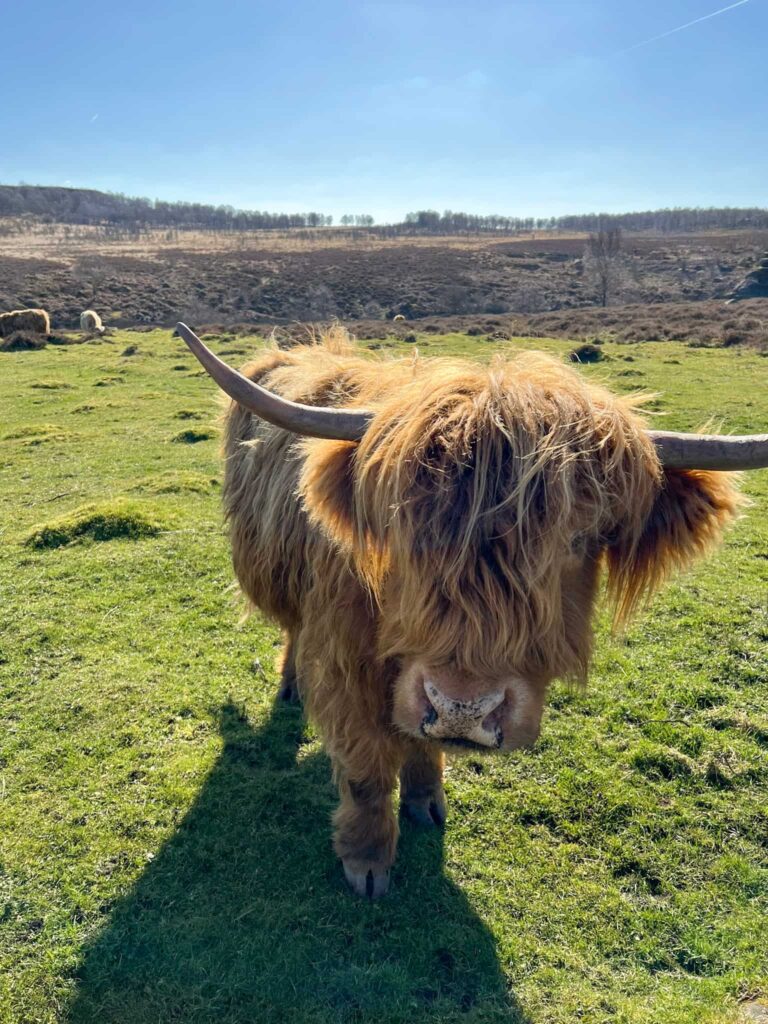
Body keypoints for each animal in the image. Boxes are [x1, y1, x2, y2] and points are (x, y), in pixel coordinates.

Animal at [176, 319, 768, 897]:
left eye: (579, 539)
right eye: (400, 525)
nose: (464, 710)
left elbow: (416, 738)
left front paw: (425, 801)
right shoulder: (348, 663)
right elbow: (366, 767)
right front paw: (366, 860)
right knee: (295, 630)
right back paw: (293, 686)